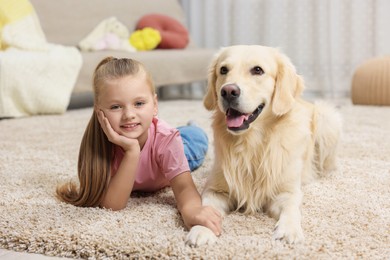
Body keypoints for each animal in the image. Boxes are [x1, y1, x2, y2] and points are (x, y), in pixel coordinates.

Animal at [186, 44, 342, 246]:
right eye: (223, 70)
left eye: (258, 70)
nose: (228, 91)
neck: (252, 142)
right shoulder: (215, 189)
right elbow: (205, 208)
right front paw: (201, 229)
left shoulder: (286, 191)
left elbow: (291, 208)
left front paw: (289, 230)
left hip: (327, 118)